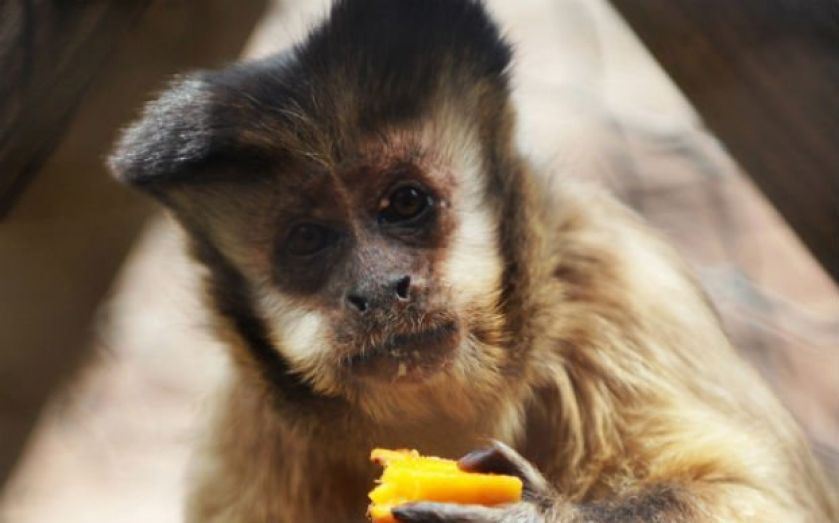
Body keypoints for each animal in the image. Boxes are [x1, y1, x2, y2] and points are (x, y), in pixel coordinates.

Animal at [107, 0, 838, 521]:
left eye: (404, 202)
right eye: (309, 240)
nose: (380, 287)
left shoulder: (621, 284)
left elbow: (755, 498)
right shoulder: (251, 423)